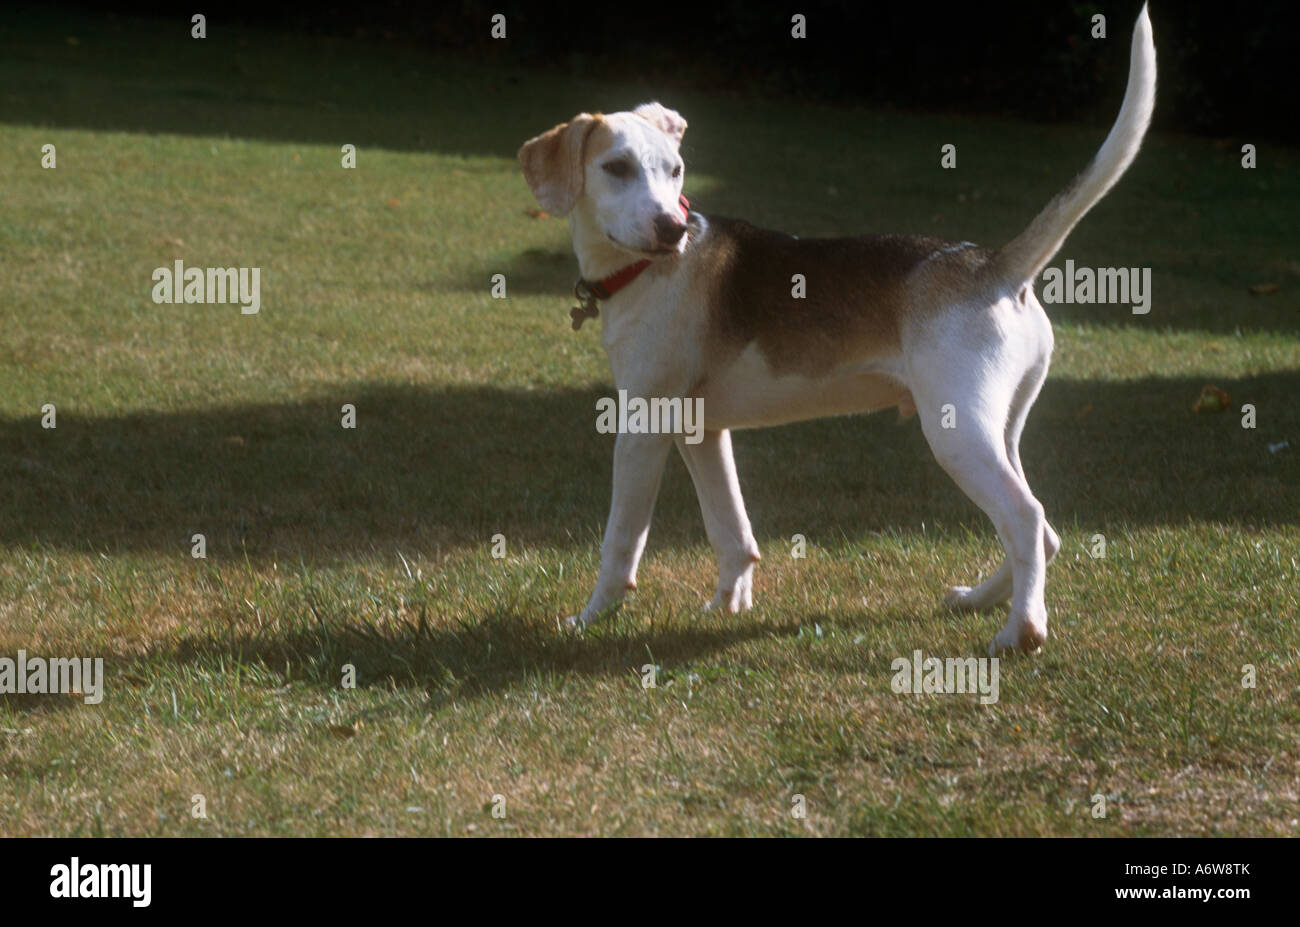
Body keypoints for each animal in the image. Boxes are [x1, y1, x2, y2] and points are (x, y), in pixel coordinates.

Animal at [512, 5, 1154, 650]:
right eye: (616, 169)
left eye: (675, 171)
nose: (673, 227)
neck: (643, 270)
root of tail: (993, 264)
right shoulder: (702, 431)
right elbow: (731, 531)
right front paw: (728, 605)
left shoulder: (642, 428)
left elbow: (621, 540)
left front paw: (590, 618)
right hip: (998, 430)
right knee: (1041, 530)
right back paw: (978, 599)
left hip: (958, 436)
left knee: (1025, 518)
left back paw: (1021, 630)